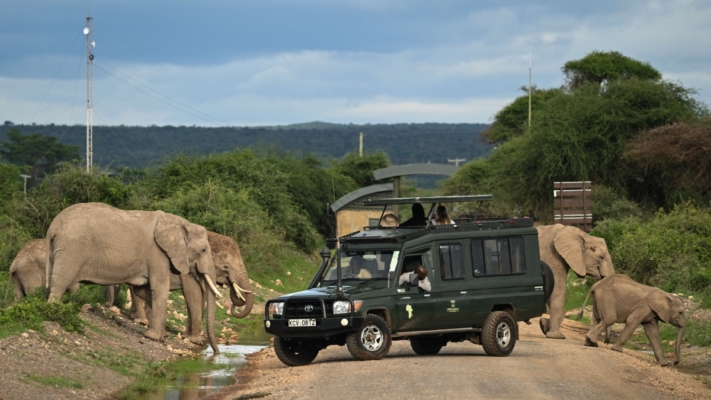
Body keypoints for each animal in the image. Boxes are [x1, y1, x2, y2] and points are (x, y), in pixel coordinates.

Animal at [46, 203, 221, 354]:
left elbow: (142, 290)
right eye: (203, 250)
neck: (180, 223)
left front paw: (161, 335)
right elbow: (160, 288)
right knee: (61, 281)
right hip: (70, 249)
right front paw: (154, 337)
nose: (216, 353)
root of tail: (53, 225)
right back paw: (54, 309)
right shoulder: (158, 254)